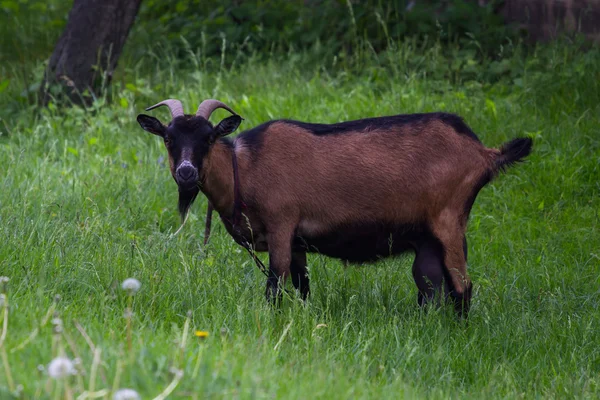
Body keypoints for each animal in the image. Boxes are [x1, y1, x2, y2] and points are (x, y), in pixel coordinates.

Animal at [137, 97, 536, 316]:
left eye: (208, 138)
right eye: (169, 138)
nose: (187, 172)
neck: (244, 167)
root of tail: (483, 153)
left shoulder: (282, 225)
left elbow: (275, 284)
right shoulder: (297, 240)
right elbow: (302, 285)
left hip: (449, 220)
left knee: (462, 287)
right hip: (427, 239)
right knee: (431, 287)